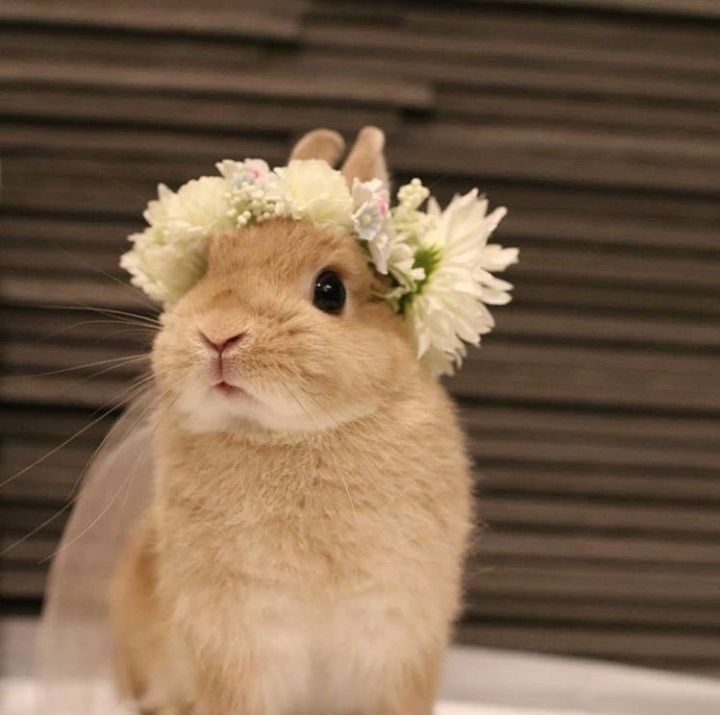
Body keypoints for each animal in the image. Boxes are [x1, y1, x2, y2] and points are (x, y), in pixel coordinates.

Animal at [109, 129, 476, 715]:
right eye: (204, 271)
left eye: (331, 291)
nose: (219, 333)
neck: (294, 438)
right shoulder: (238, 645)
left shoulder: (395, 638)